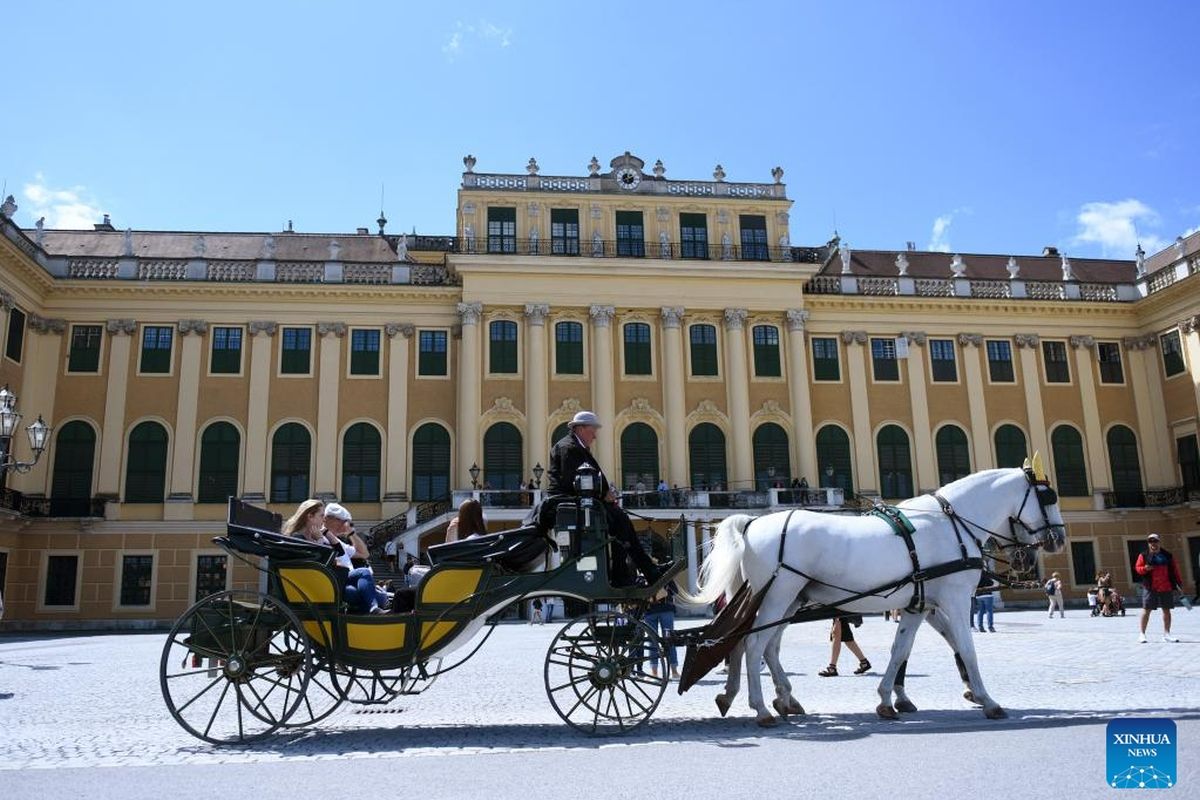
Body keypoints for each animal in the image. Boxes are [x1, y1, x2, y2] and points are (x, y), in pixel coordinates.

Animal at [681, 460, 1065, 729]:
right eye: (1048, 497)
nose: (1058, 539)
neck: (950, 524)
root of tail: (753, 521)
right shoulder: (955, 601)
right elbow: (967, 650)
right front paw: (987, 700)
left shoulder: (918, 605)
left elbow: (901, 651)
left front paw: (887, 700)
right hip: (777, 597)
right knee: (753, 645)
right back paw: (761, 708)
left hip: (783, 599)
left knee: (756, 645)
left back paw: (763, 699)